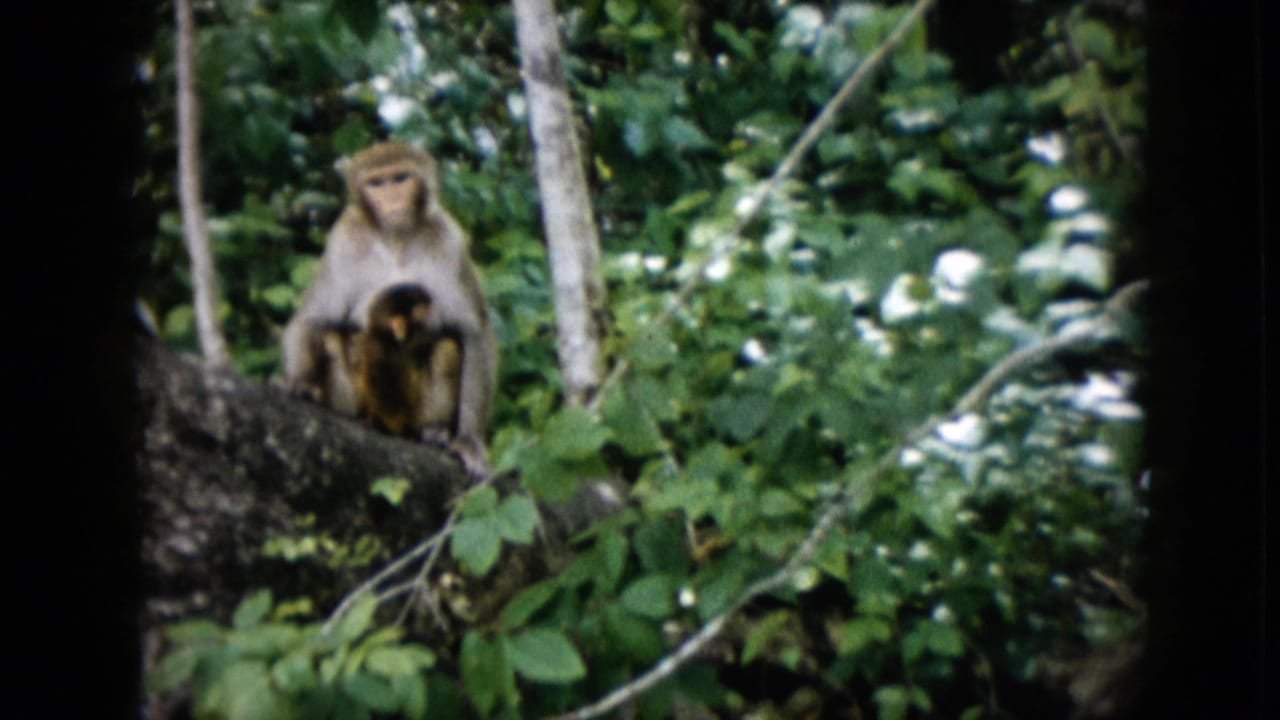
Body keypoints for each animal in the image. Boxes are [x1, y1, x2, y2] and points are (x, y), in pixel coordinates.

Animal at [283, 141, 497, 478]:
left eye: (400, 178)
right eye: (377, 183)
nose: (391, 196)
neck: (397, 239)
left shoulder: (448, 239)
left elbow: (473, 331)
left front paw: (469, 441)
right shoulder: (344, 239)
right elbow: (313, 319)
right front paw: (302, 381)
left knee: (447, 347)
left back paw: (432, 430)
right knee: (330, 336)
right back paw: (363, 419)